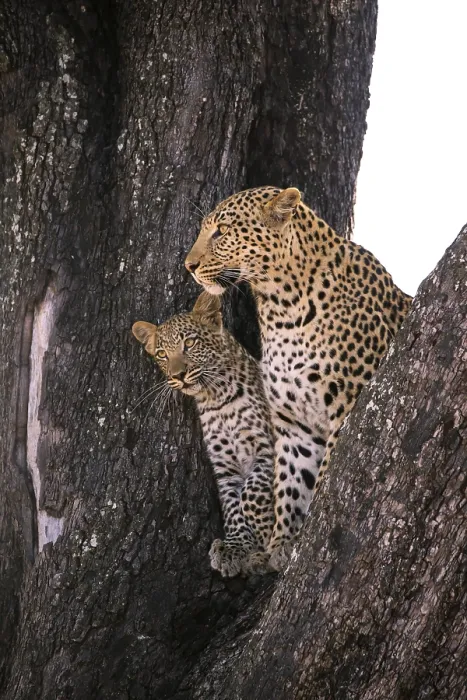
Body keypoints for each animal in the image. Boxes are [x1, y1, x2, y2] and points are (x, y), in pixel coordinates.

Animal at [132, 291, 275, 577]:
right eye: (162, 354)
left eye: (189, 343)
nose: (179, 375)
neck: (217, 399)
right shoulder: (224, 467)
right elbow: (232, 504)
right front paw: (235, 547)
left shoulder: (268, 448)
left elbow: (251, 493)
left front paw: (265, 534)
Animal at [185, 186, 412, 570]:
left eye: (221, 232)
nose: (189, 266)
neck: (281, 308)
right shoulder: (294, 424)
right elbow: (291, 485)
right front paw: (281, 544)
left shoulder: (347, 406)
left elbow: (323, 480)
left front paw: (304, 537)